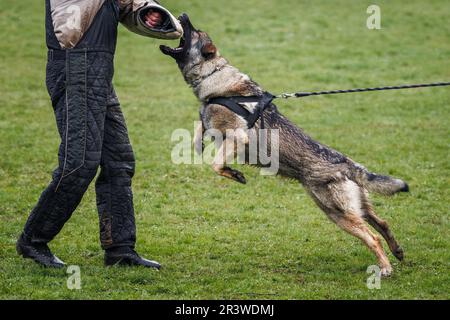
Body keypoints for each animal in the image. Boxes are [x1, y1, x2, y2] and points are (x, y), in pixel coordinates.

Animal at [161, 14, 408, 276]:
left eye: (195, 31)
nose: (184, 15)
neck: (214, 77)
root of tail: (347, 163)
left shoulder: (238, 137)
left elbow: (216, 164)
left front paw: (235, 174)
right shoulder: (210, 123)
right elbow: (199, 131)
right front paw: (202, 144)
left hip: (338, 213)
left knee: (373, 237)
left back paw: (385, 268)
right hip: (352, 208)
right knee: (382, 222)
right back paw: (397, 252)